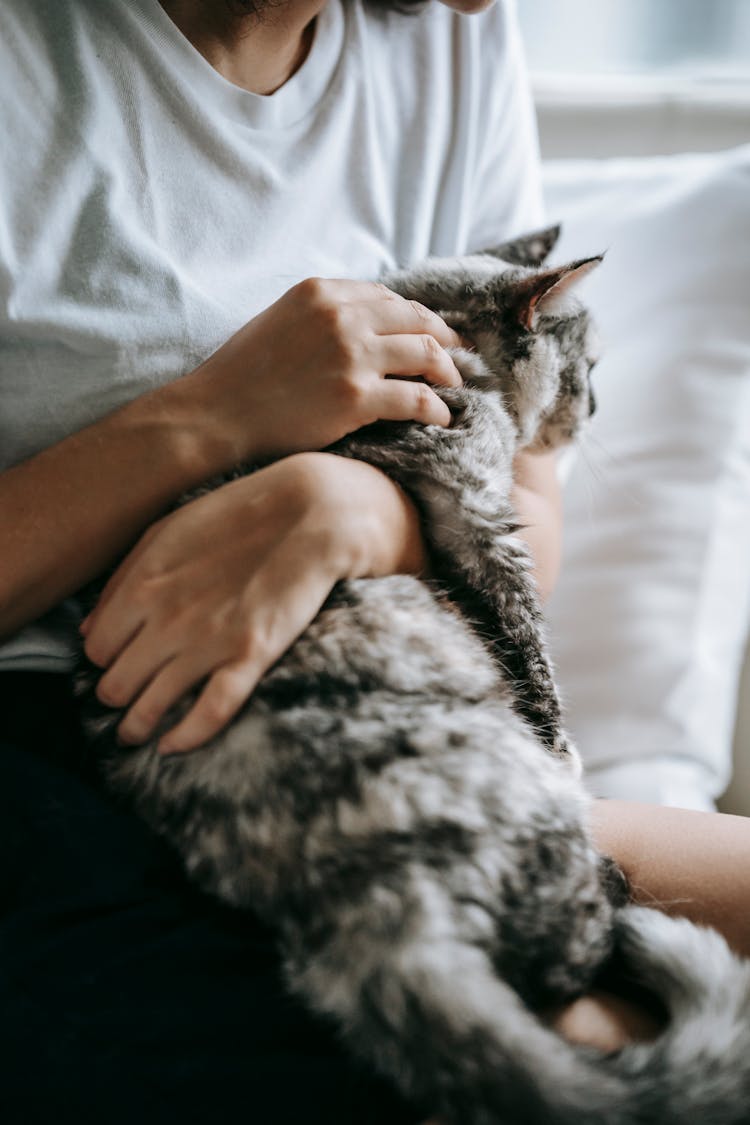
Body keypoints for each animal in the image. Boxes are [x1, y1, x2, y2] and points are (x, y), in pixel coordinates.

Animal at [74, 228, 750, 1125]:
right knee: (573, 952)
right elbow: (530, 647)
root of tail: (375, 910)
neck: (445, 336)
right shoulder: (482, 520)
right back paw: (615, 893)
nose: (597, 412)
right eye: (589, 368)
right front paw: (566, 738)